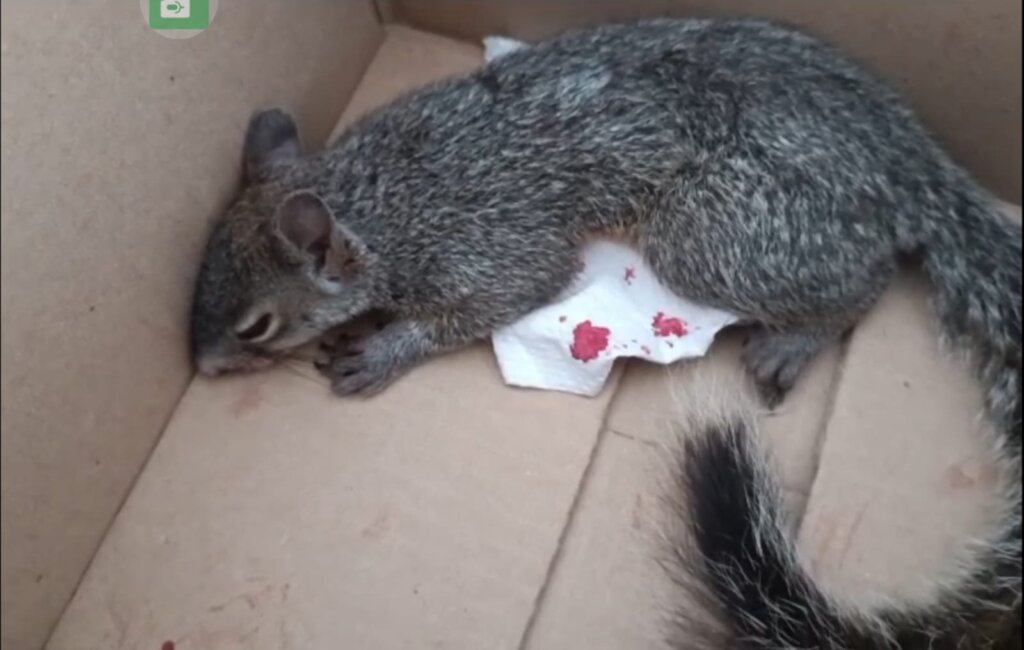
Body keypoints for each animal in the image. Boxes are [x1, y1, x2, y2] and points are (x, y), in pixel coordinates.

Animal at [189, 18, 1021, 648]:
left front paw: (384, 348)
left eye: (256, 325)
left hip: (716, 234)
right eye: (199, 274)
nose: (200, 365)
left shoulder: (490, 245)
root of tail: (909, 159)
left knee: (867, 278)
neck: (376, 192)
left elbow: (491, 299)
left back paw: (796, 337)